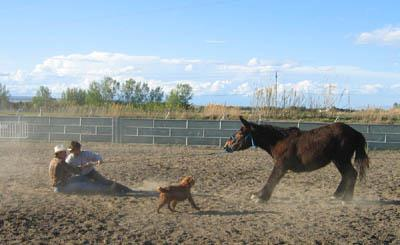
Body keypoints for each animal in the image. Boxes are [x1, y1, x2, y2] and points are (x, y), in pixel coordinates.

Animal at [223, 117, 370, 203]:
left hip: (341, 159)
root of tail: (355, 132)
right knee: (347, 175)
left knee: (351, 174)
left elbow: (272, 179)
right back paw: (336, 195)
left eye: (240, 133)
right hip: (338, 161)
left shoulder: (281, 165)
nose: (226, 146)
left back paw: (347, 199)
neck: (279, 140)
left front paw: (260, 197)